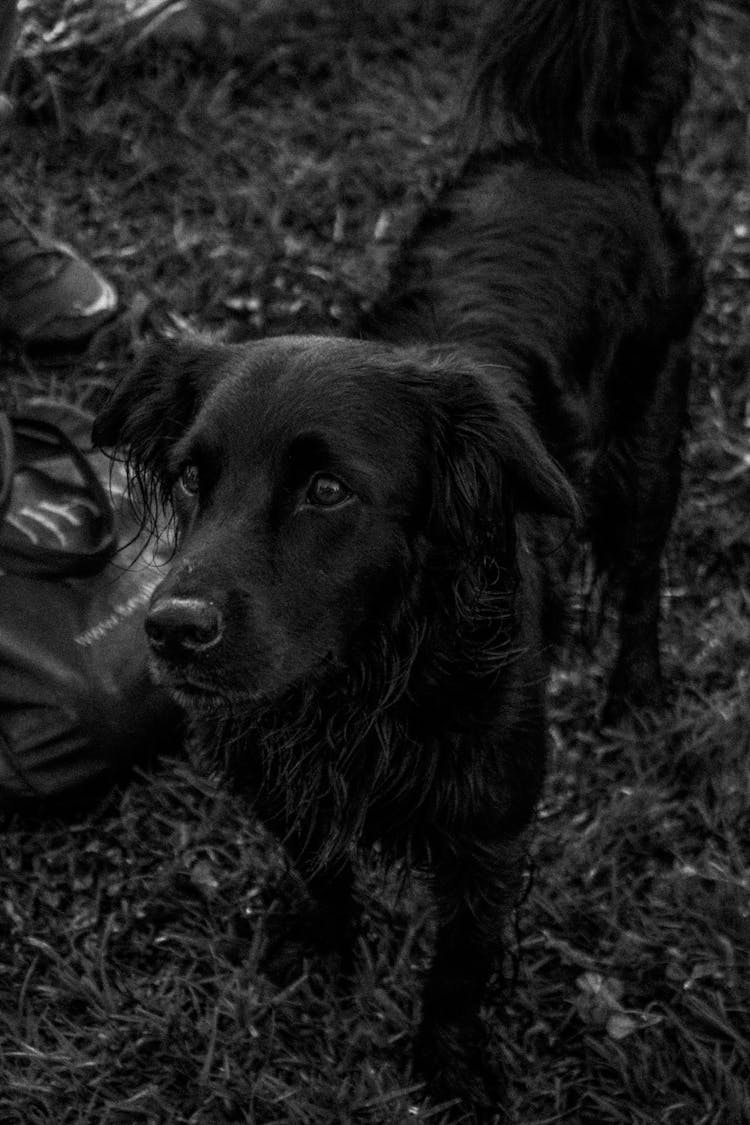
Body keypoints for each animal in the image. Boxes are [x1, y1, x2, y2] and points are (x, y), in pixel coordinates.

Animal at [95, 0, 706, 1107]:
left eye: (329, 490)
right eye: (195, 479)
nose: (170, 629)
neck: (365, 676)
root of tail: (579, 141)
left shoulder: (489, 826)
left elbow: (460, 962)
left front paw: (448, 1062)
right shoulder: (285, 781)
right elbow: (322, 870)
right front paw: (328, 953)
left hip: (648, 444)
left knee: (642, 576)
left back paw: (636, 691)